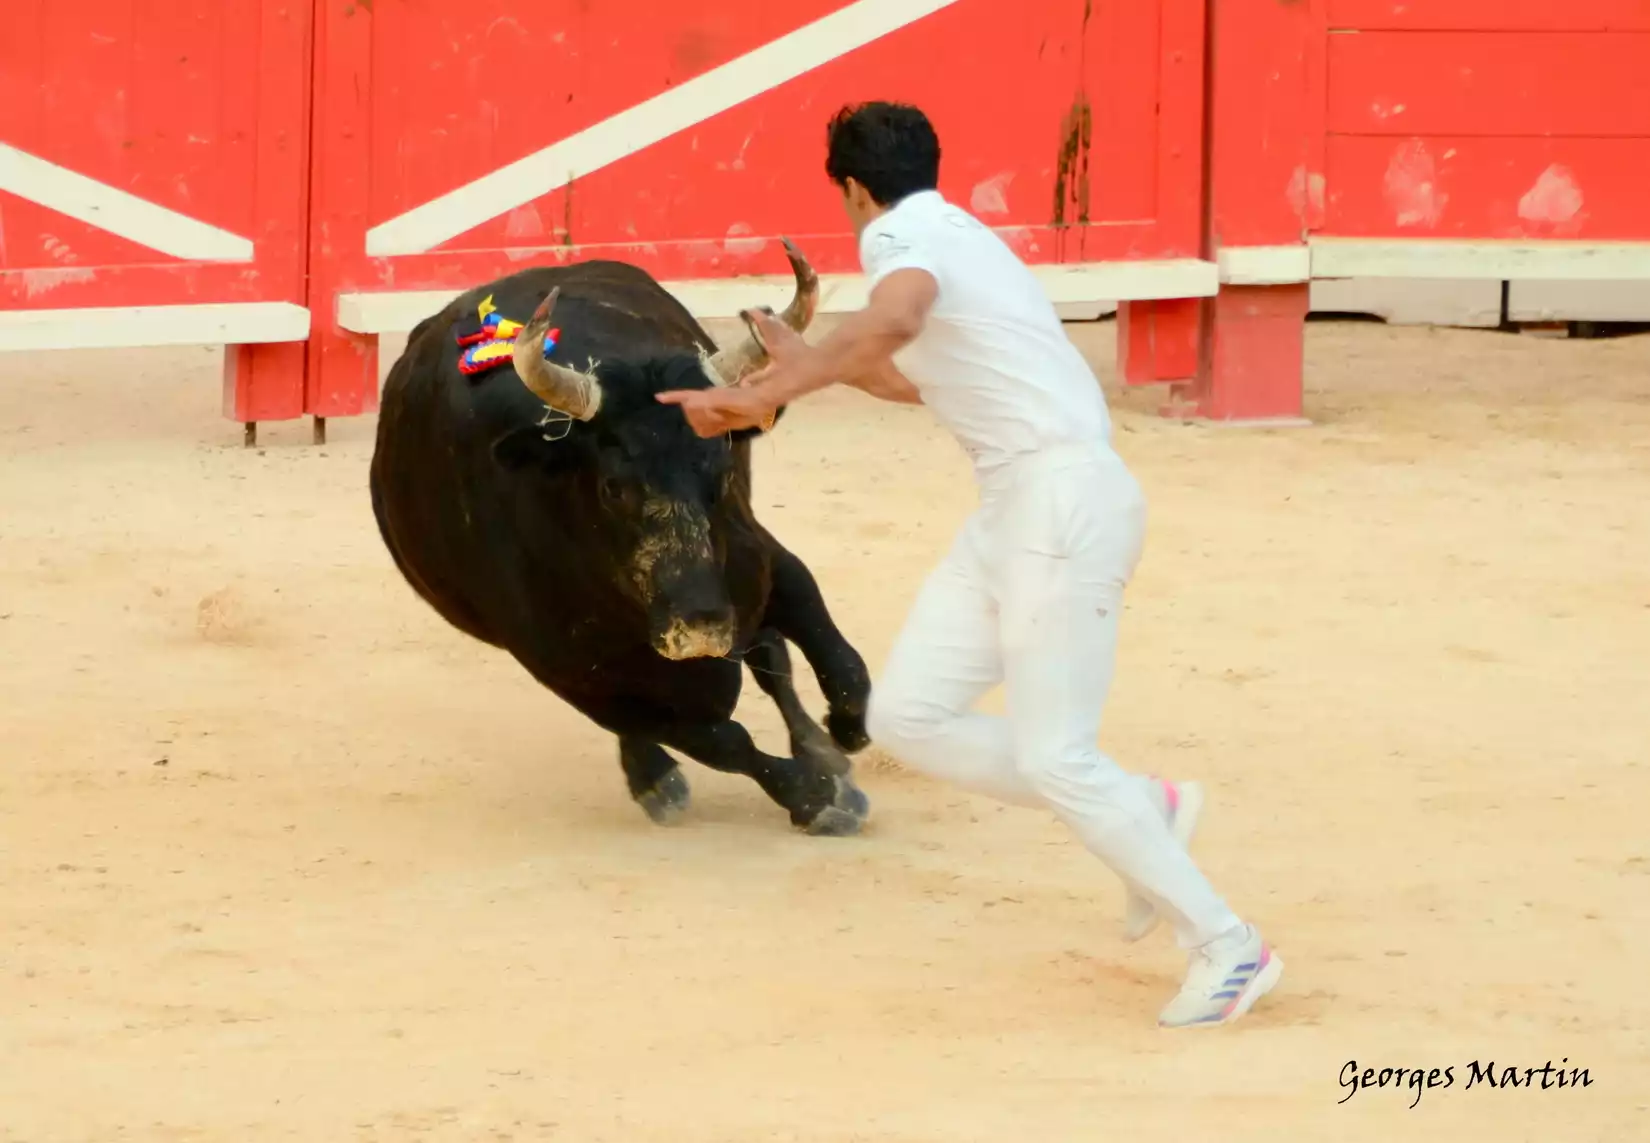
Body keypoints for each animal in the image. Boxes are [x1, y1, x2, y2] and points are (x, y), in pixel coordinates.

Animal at [364, 240, 877, 834]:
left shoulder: (769, 564)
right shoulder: (574, 675)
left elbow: (840, 664)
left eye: (722, 470)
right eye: (613, 487)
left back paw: (819, 745)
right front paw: (817, 798)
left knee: (773, 655)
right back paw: (656, 778)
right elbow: (722, 741)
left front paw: (843, 737)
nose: (700, 625)